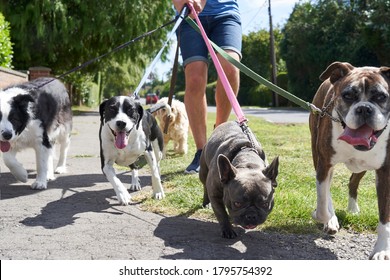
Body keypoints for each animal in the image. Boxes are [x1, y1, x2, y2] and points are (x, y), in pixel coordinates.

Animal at [310, 61, 388, 260]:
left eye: (381, 97)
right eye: (348, 95)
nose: (364, 108)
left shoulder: (386, 173)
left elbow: (385, 217)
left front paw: (382, 249)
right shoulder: (324, 163)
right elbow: (322, 201)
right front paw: (328, 218)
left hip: (361, 167)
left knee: (353, 182)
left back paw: (353, 209)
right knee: (329, 187)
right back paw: (331, 220)